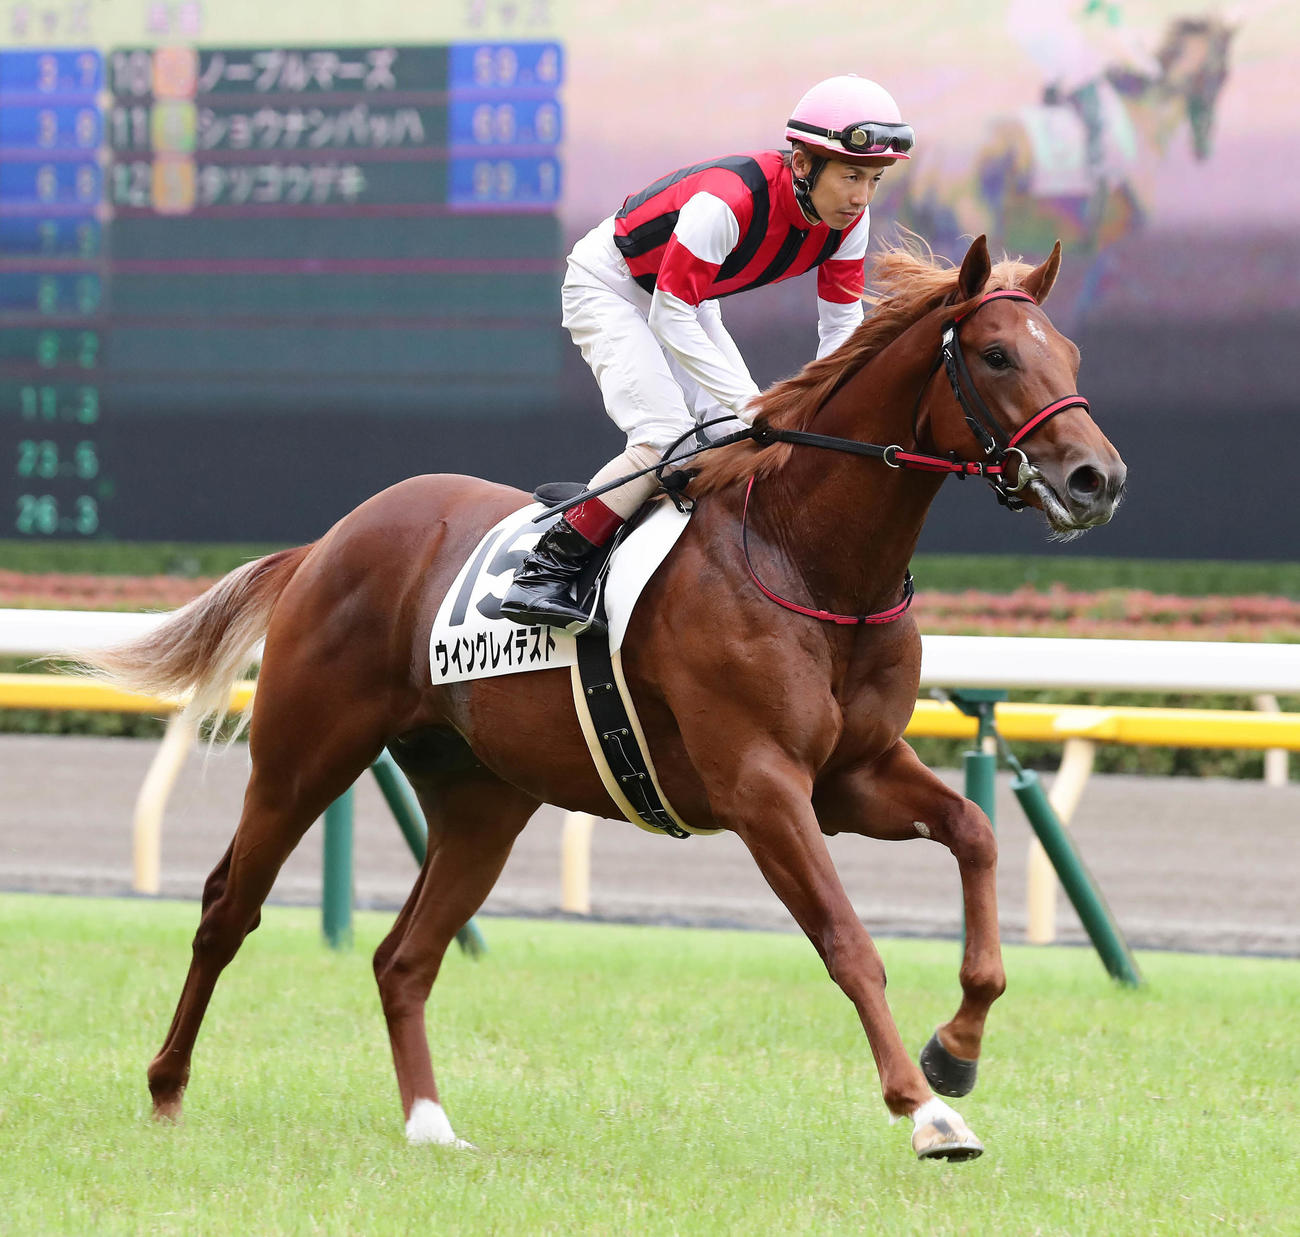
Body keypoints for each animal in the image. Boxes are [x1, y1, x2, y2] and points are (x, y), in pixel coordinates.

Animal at [80, 234, 1126, 1162]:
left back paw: (430, 1125)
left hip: (484, 800)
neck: (806, 554)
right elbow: (847, 940)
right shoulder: (762, 785)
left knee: (402, 955)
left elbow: (976, 833)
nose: (1097, 478)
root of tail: (329, 540)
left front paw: (956, 1051)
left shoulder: (853, 774)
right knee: (228, 909)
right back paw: (166, 1088)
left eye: (1073, 354)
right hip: (306, 757)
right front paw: (927, 1111)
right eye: (996, 354)